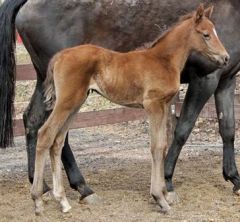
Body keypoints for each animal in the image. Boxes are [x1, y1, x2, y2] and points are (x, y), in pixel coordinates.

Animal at [0, 0, 240, 205]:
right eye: (206, 34)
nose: (225, 57)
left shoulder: (226, 81)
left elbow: (227, 129)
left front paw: (234, 179)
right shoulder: (203, 80)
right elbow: (179, 132)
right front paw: (166, 186)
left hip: (50, 86)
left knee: (34, 121)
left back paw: (44, 186)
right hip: (66, 95)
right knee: (53, 133)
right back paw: (81, 188)